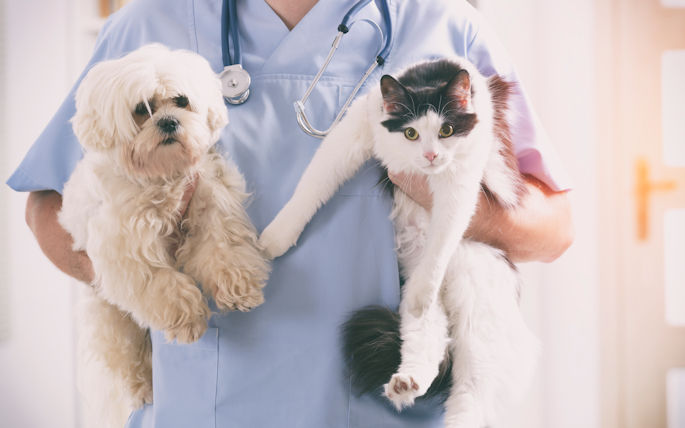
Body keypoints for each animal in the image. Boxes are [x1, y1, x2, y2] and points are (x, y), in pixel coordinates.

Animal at [58, 43, 270, 424]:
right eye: (142, 110)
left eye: (181, 101)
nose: (169, 121)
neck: (162, 176)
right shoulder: (127, 248)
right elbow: (162, 284)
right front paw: (187, 319)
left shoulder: (210, 202)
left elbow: (223, 249)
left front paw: (238, 287)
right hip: (110, 319)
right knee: (127, 357)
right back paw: (143, 387)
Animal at [260, 57, 536, 428]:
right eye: (411, 133)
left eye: (446, 131)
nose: (431, 156)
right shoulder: (358, 128)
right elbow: (313, 184)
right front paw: (277, 237)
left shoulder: (460, 179)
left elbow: (444, 235)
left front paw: (426, 282)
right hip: (426, 307)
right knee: (428, 339)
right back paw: (406, 383)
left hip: (481, 321)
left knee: (472, 393)